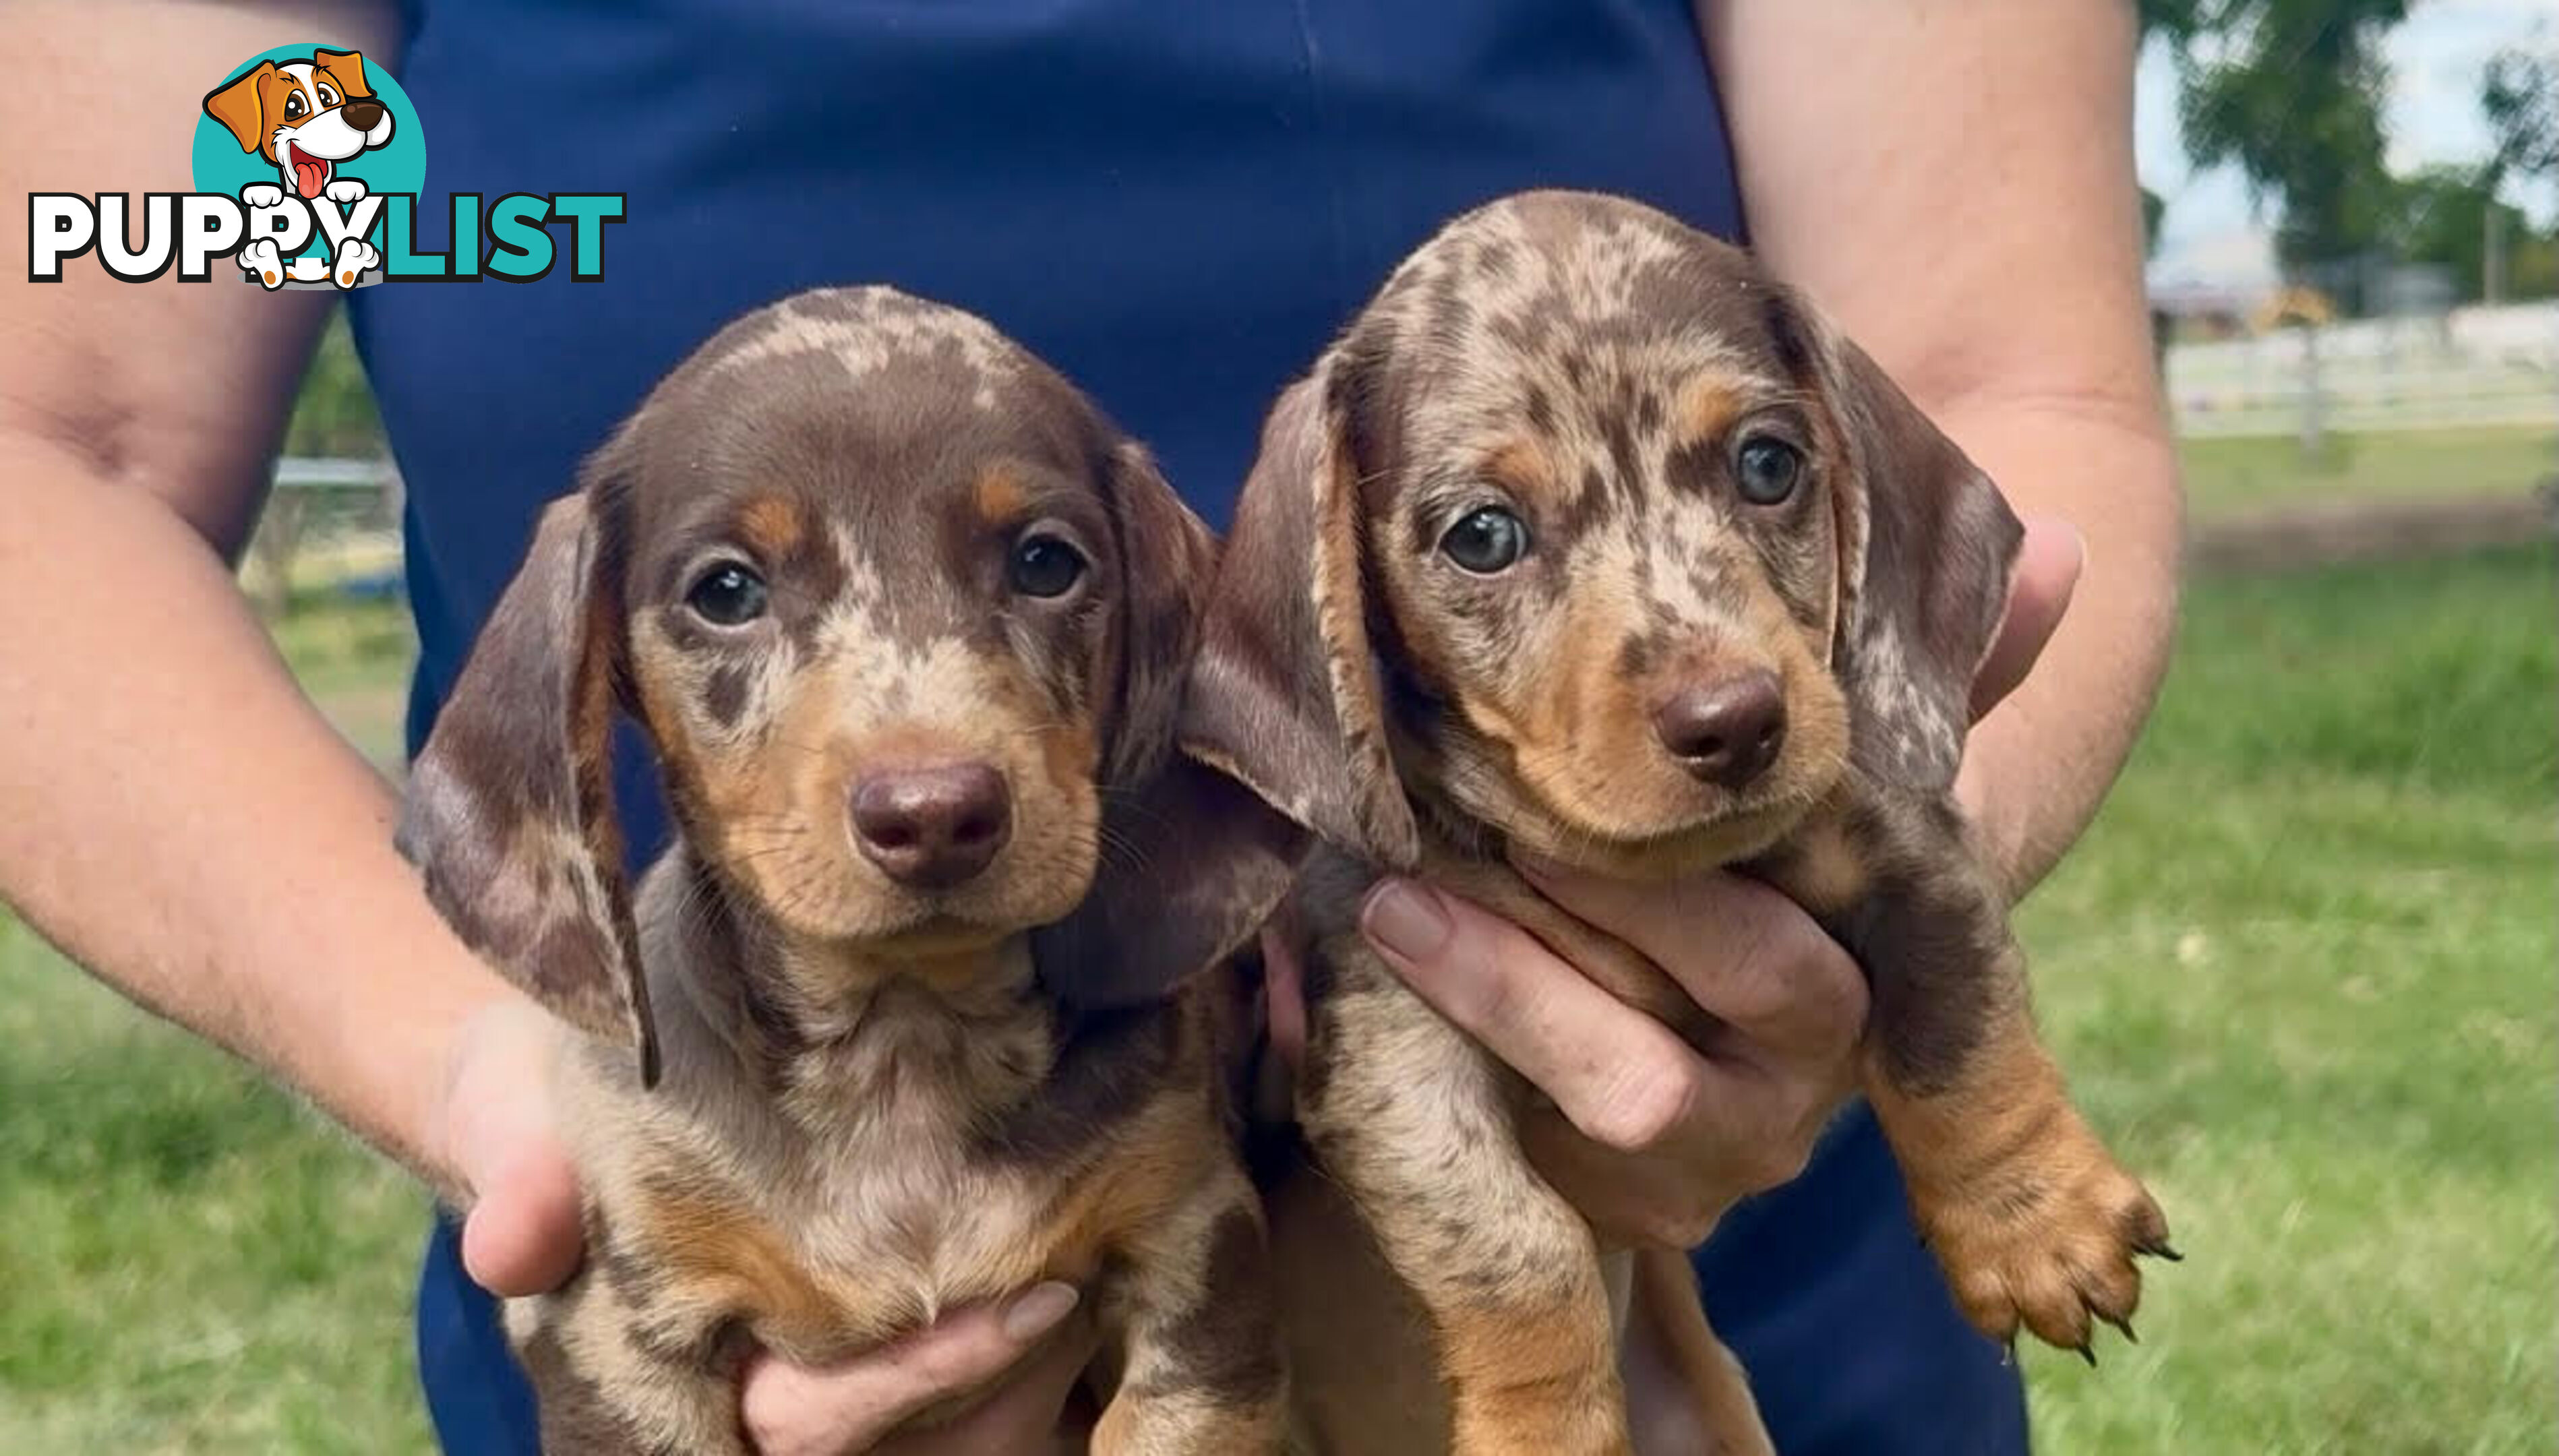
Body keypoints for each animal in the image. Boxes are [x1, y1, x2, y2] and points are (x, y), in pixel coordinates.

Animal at [412, 286, 1310, 1453]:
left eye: (1045, 562)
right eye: (727, 590)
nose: (934, 814)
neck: (905, 1048)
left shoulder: (1198, 1256)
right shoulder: (615, 1332)